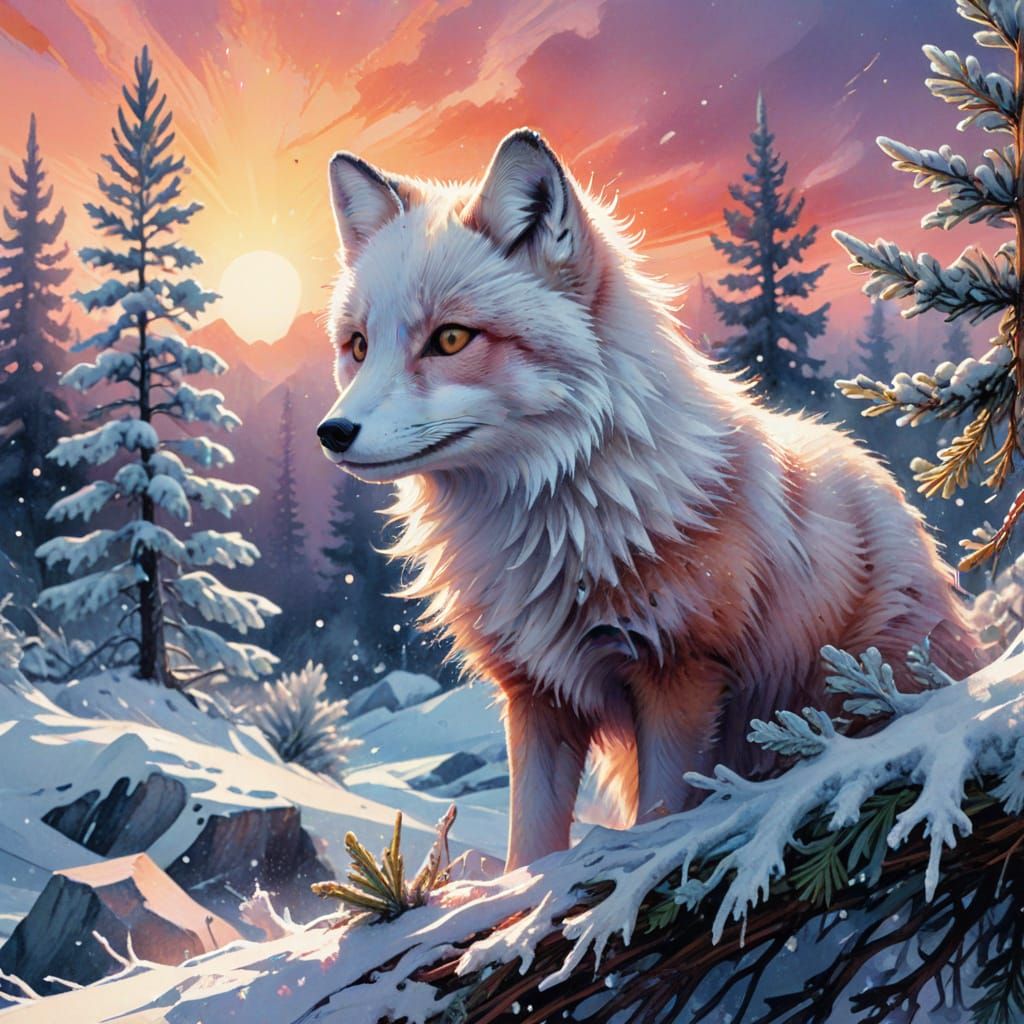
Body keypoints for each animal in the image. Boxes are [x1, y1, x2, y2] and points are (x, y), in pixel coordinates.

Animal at [317, 128, 979, 871]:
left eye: (451, 339)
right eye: (358, 346)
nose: (332, 433)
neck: (562, 529)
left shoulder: (679, 678)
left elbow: (659, 822)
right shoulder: (537, 693)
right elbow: (529, 849)